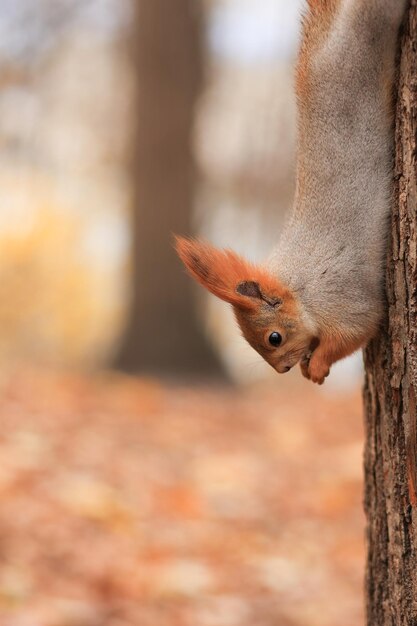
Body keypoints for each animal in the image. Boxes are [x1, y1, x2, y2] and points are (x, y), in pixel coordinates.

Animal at [176, 0, 406, 382]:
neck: (301, 288)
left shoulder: (342, 299)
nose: (283, 369)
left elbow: (355, 331)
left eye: (274, 337)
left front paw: (317, 365)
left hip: (369, 35)